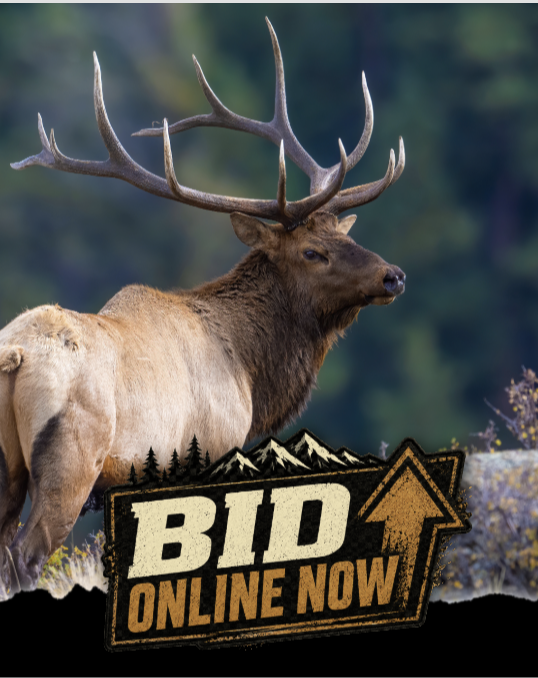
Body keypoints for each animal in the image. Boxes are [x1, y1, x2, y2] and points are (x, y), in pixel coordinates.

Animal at [0, 18, 405, 594]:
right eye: (312, 251)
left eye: (345, 235)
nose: (393, 275)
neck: (249, 368)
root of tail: (16, 355)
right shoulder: (210, 449)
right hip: (71, 460)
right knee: (25, 556)